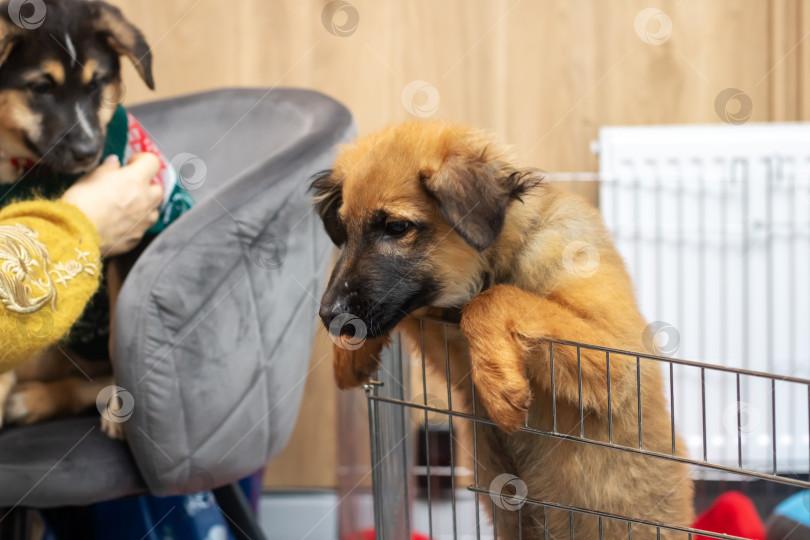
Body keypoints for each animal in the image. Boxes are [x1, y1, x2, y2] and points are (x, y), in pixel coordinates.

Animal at [0, 0, 156, 438]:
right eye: (41, 88)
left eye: (97, 83)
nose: (89, 151)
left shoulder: (139, 237)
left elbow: (118, 335)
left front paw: (121, 408)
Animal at [312, 123, 692, 540]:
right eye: (345, 230)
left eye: (397, 227)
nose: (329, 317)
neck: (490, 268)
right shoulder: (443, 340)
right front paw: (349, 355)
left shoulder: (617, 355)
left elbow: (493, 300)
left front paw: (499, 387)